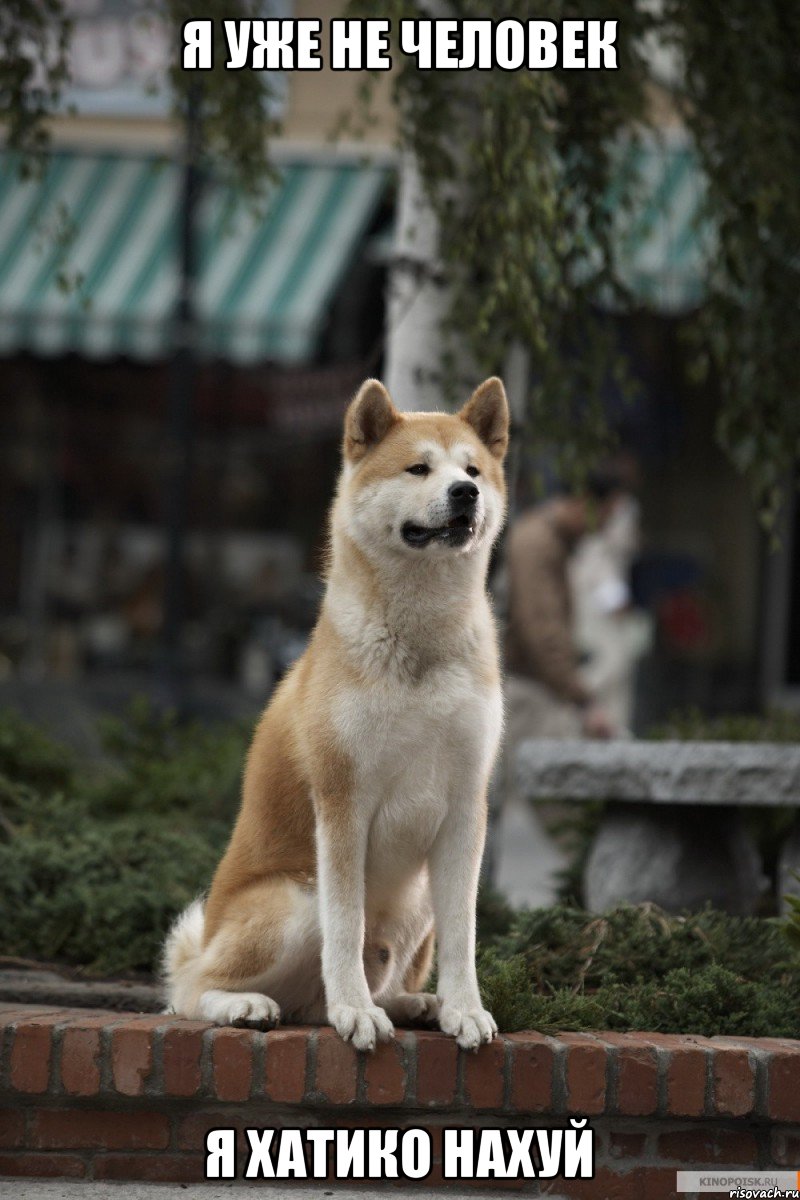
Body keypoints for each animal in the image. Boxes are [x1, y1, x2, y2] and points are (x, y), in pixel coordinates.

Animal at [163, 374, 510, 1051]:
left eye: (473, 469)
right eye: (418, 468)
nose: (466, 493)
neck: (420, 643)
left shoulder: (466, 806)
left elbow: (465, 935)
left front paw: (464, 1008)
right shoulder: (343, 800)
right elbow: (345, 928)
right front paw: (355, 1011)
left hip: (416, 900)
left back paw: (414, 1003)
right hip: (296, 900)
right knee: (189, 990)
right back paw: (250, 1005)